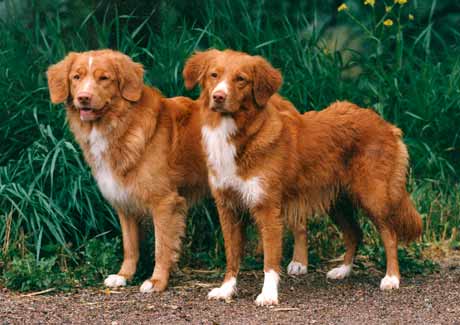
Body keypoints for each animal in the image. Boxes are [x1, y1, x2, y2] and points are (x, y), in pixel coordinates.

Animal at [183, 49, 420, 306]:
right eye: (214, 75)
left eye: (241, 79)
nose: (218, 97)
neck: (241, 136)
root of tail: (386, 124)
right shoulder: (228, 208)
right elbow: (232, 256)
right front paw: (226, 289)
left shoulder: (267, 208)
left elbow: (270, 260)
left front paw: (268, 295)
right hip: (337, 202)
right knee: (355, 233)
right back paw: (343, 270)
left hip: (373, 197)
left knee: (389, 234)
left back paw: (392, 278)